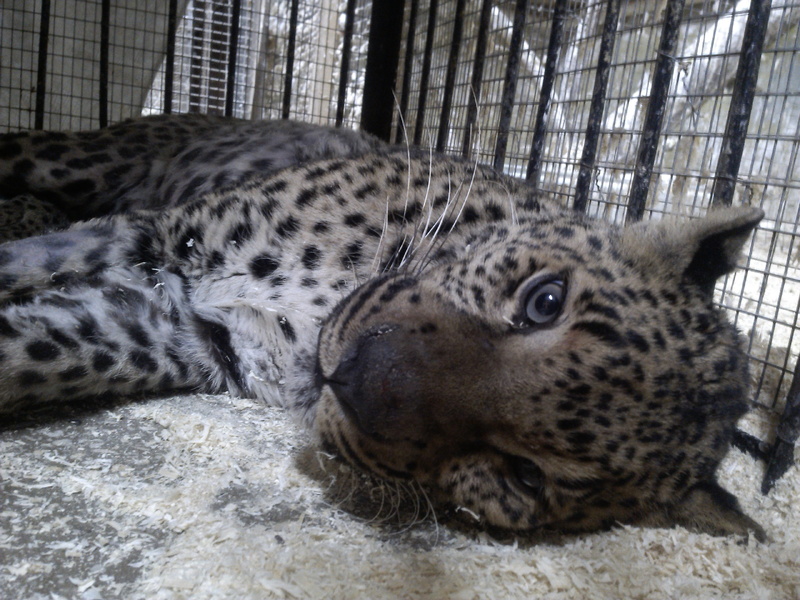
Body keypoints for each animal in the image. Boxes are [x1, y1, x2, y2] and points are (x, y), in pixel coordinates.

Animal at [0, 111, 764, 540]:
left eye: (524, 476)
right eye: (545, 300)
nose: (356, 379)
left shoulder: (172, 330)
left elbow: (40, 351)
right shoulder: (162, 236)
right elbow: (28, 263)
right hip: (81, 158)